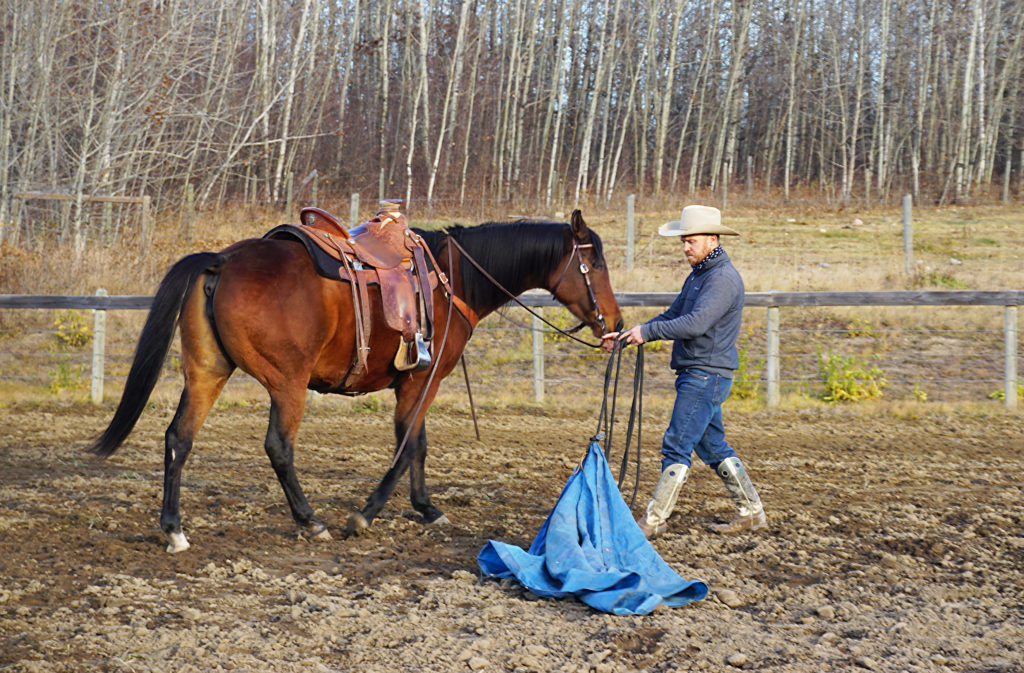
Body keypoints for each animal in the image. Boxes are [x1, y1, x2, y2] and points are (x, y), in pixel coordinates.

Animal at [89, 208, 623, 553]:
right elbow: (407, 446)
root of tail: (221, 260)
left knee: (178, 439)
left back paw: (174, 530)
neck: (452, 280)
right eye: (594, 262)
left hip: (206, 373)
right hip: (286, 383)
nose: (615, 323)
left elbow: (417, 445)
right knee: (278, 446)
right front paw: (365, 514)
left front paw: (427, 508)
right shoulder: (421, 382)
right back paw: (311, 522)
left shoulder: (415, 383)